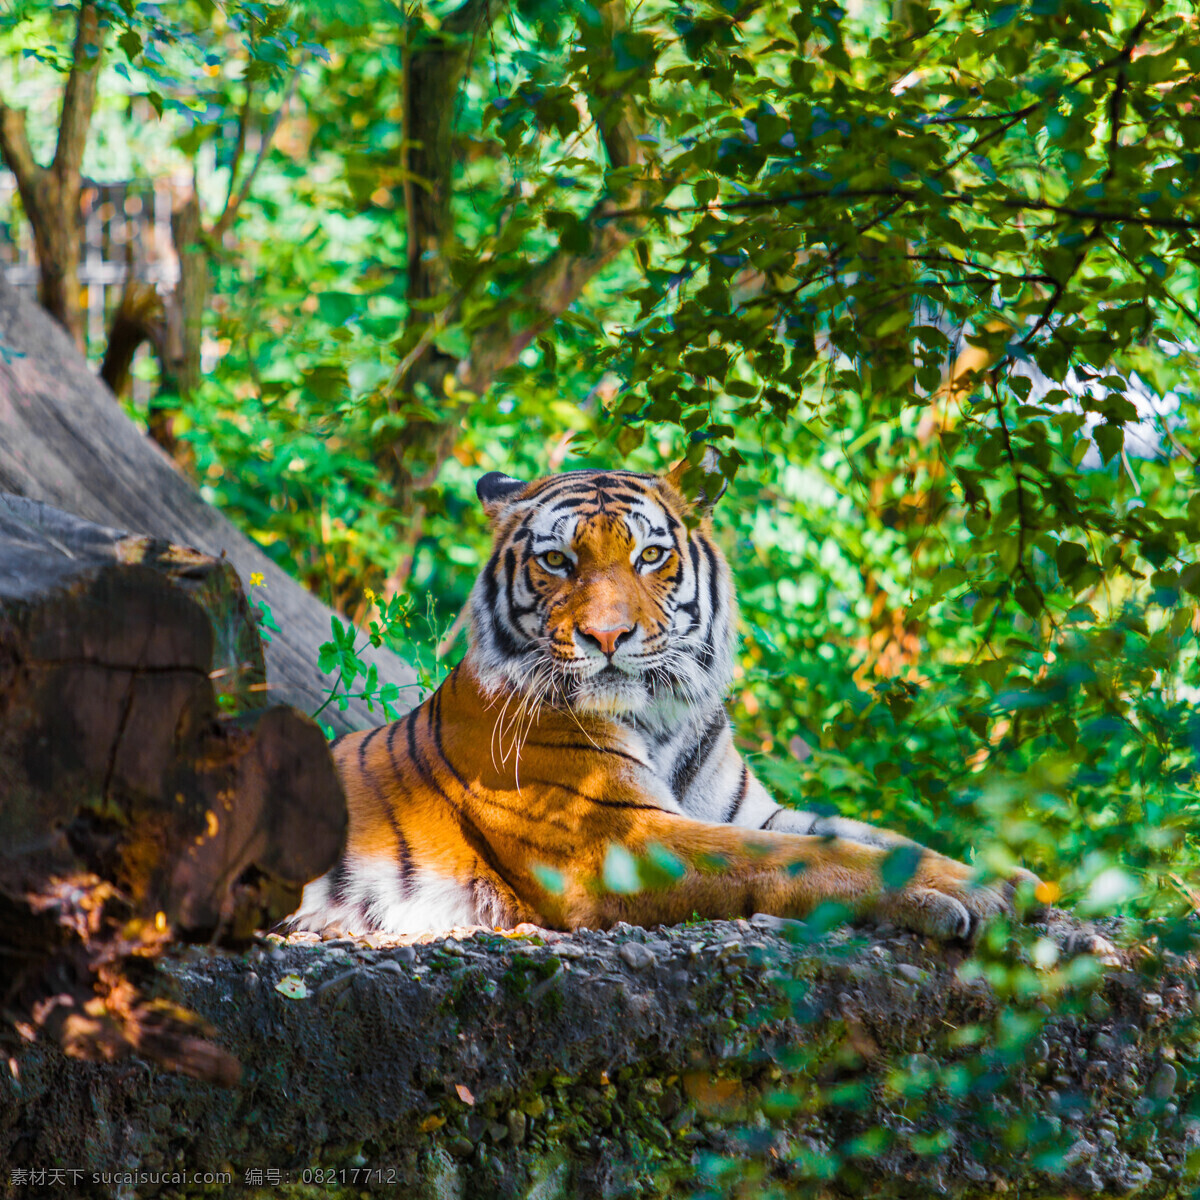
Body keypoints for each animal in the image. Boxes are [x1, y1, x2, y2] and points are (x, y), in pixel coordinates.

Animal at [285, 463, 1036, 940]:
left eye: (650, 555)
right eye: (557, 561)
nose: (606, 635)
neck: (662, 717)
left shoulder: (747, 811)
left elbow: (869, 836)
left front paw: (1008, 880)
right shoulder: (622, 837)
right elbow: (809, 858)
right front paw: (957, 897)